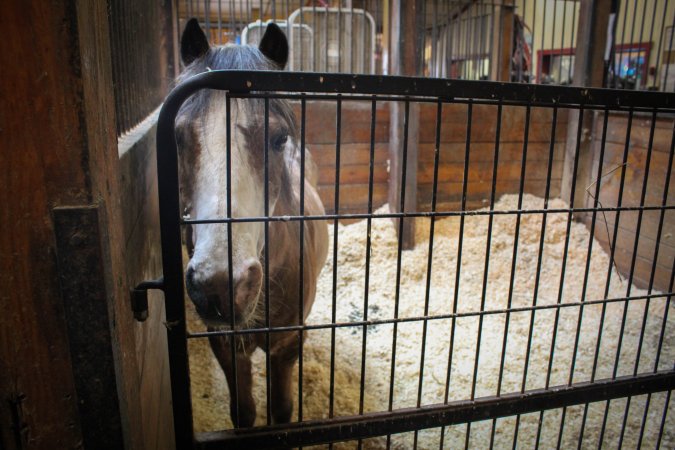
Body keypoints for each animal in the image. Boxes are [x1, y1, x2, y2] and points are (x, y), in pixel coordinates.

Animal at [176, 19, 328, 428]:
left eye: (279, 138)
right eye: (178, 137)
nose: (219, 287)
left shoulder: (286, 346)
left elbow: (282, 413)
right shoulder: (226, 345)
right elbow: (243, 413)